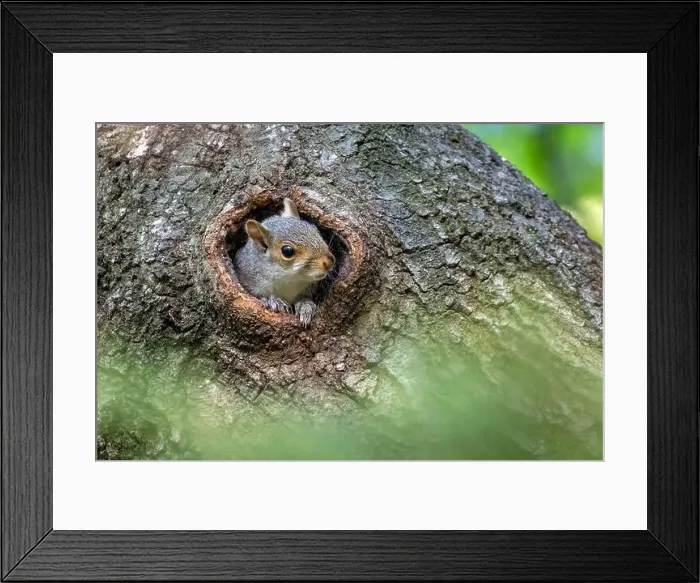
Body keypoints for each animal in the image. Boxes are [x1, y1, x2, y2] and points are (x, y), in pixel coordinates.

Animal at [234, 198, 335, 328]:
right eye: (287, 251)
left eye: (315, 229)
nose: (329, 261)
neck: (290, 280)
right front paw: (274, 301)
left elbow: (304, 298)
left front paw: (305, 305)